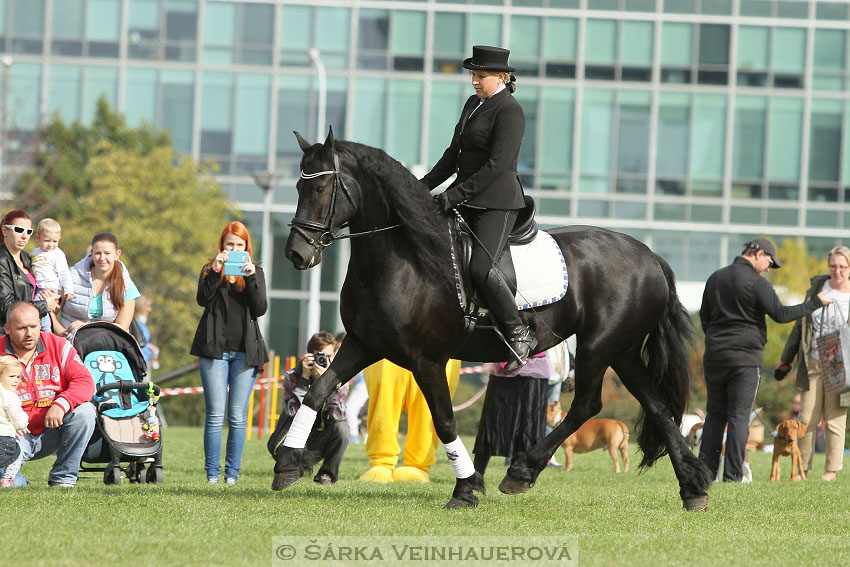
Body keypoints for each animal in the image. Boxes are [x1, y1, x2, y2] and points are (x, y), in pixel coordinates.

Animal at [276, 131, 708, 512]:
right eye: (297, 187)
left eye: (320, 188)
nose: (296, 254)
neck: (403, 258)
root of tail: (650, 256)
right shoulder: (363, 344)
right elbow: (316, 392)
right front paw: (287, 463)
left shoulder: (427, 361)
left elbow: (445, 422)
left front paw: (466, 489)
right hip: (623, 352)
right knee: (657, 408)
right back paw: (693, 488)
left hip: (598, 347)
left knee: (587, 405)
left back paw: (522, 470)